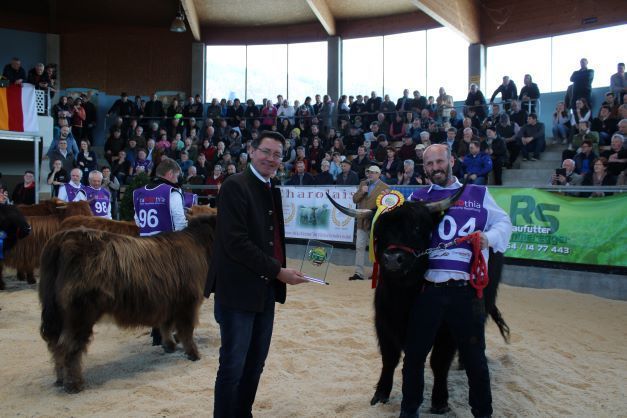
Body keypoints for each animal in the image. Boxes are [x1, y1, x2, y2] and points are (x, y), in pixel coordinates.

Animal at [39, 214, 217, 394]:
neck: (199, 245)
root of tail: (62, 238)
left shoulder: (169, 302)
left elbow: (166, 326)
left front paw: (170, 346)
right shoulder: (188, 303)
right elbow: (187, 332)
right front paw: (194, 355)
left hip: (56, 314)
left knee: (56, 346)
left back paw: (60, 380)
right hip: (79, 314)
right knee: (70, 347)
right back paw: (74, 385)